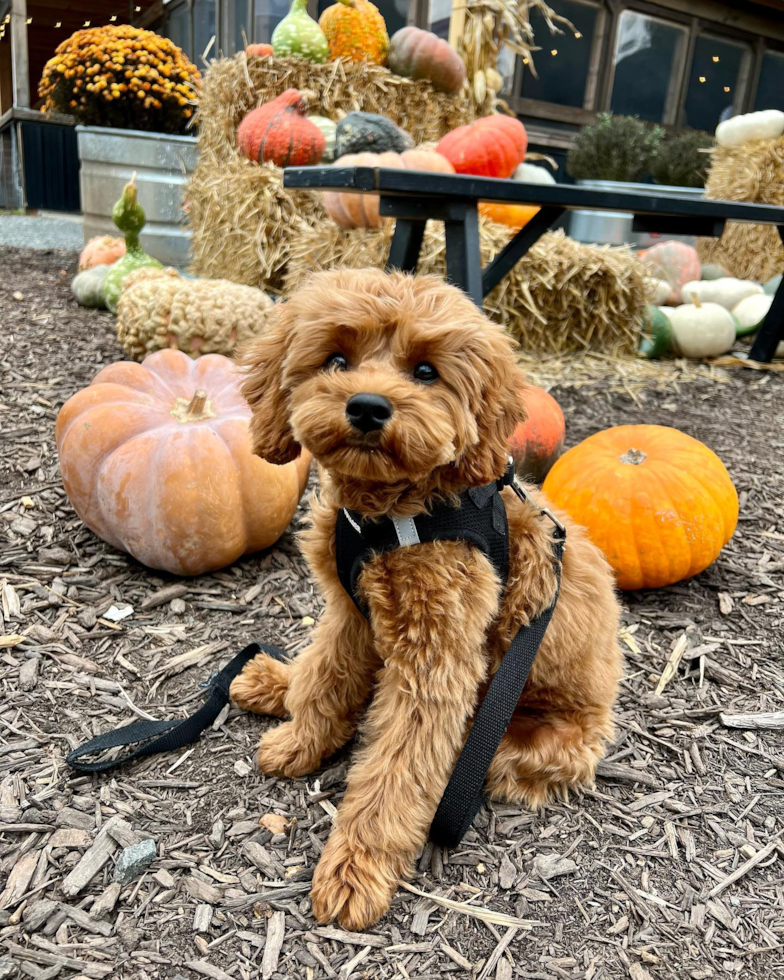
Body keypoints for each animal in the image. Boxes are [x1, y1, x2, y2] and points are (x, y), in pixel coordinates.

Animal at [230, 270, 620, 936]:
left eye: (426, 372)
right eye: (337, 360)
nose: (367, 406)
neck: (392, 518)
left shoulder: (434, 660)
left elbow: (396, 770)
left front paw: (354, 871)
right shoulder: (350, 613)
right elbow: (325, 677)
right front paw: (301, 738)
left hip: (529, 738)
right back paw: (269, 679)